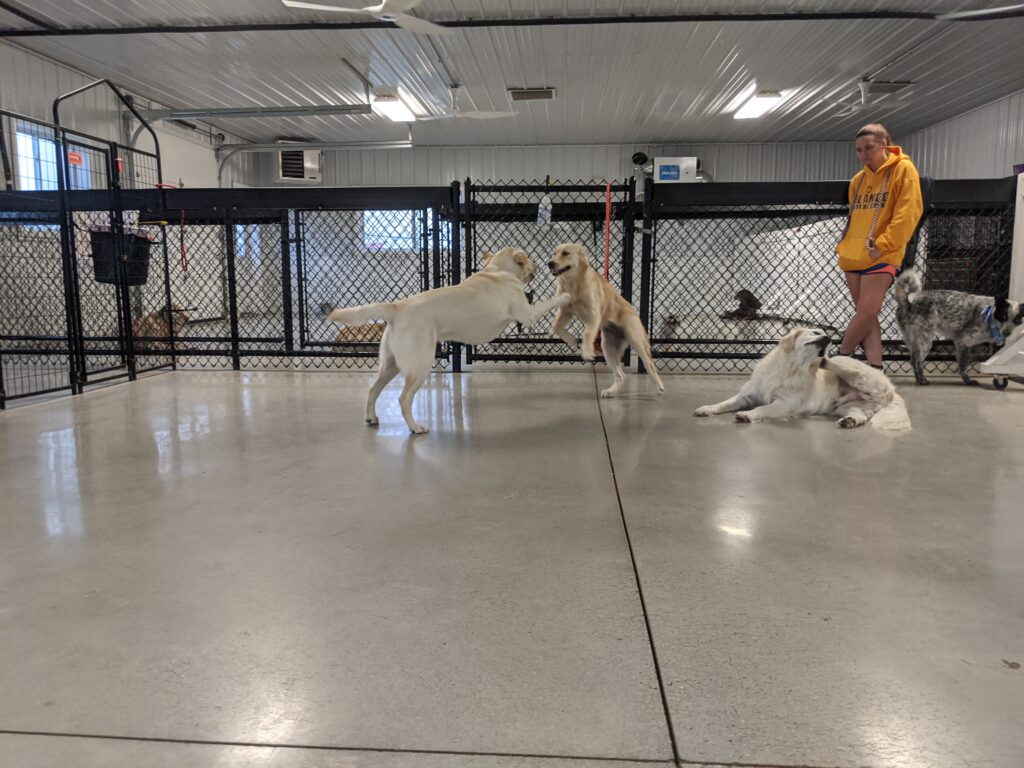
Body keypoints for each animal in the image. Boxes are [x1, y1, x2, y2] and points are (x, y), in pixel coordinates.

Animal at [327, 249, 569, 436]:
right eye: (529, 260)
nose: (541, 265)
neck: (497, 271)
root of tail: (397, 307)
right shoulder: (528, 314)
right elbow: (549, 302)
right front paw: (565, 296)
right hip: (419, 365)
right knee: (404, 399)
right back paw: (415, 427)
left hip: (390, 365)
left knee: (372, 390)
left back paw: (371, 418)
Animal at [552, 241, 663, 399]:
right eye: (554, 253)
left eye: (566, 253)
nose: (550, 263)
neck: (573, 284)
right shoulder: (565, 312)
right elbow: (555, 326)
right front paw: (572, 340)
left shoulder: (594, 315)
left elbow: (587, 334)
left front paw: (587, 351)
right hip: (608, 348)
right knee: (621, 375)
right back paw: (611, 391)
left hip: (637, 340)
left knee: (650, 365)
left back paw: (659, 386)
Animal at [696, 327, 913, 430]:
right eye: (815, 332)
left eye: (827, 338)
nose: (829, 339)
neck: (790, 368)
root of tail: (893, 392)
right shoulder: (746, 396)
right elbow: (725, 403)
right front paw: (707, 409)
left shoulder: (784, 404)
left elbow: (762, 409)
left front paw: (747, 415)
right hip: (849, 407)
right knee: (859, 415)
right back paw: (849, 421)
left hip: (857, 374)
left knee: (842, 366)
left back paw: (826, 361)